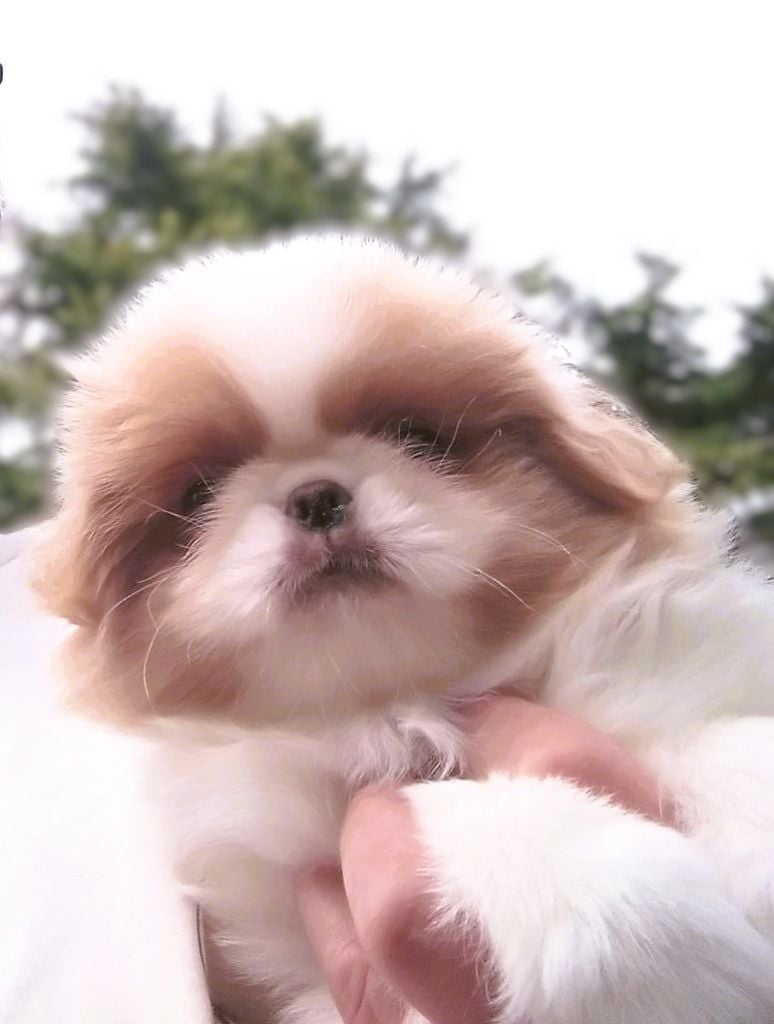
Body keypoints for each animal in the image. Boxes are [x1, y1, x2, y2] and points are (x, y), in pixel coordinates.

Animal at [34, 234, 774, 1022]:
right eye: (198, 494)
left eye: (416, 437)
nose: (316, 496)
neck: (406, 705)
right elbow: (493, 825)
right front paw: (662, 968)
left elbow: (717, 741)